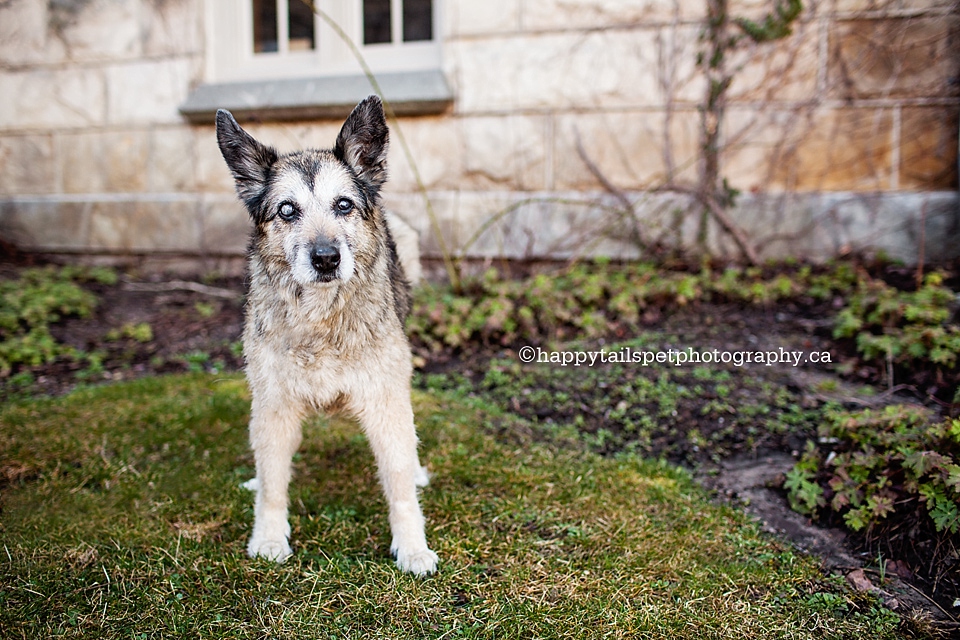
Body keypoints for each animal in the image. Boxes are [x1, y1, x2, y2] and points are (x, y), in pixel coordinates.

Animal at [216, 97, 436, 576]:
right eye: (286, 210)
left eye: (344, 205)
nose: (326, 258)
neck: (321, 319)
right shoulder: (274, 407)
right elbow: (273, 485)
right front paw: (268, 537)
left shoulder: (385, 401)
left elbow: (399, 484)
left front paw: (411, 546)